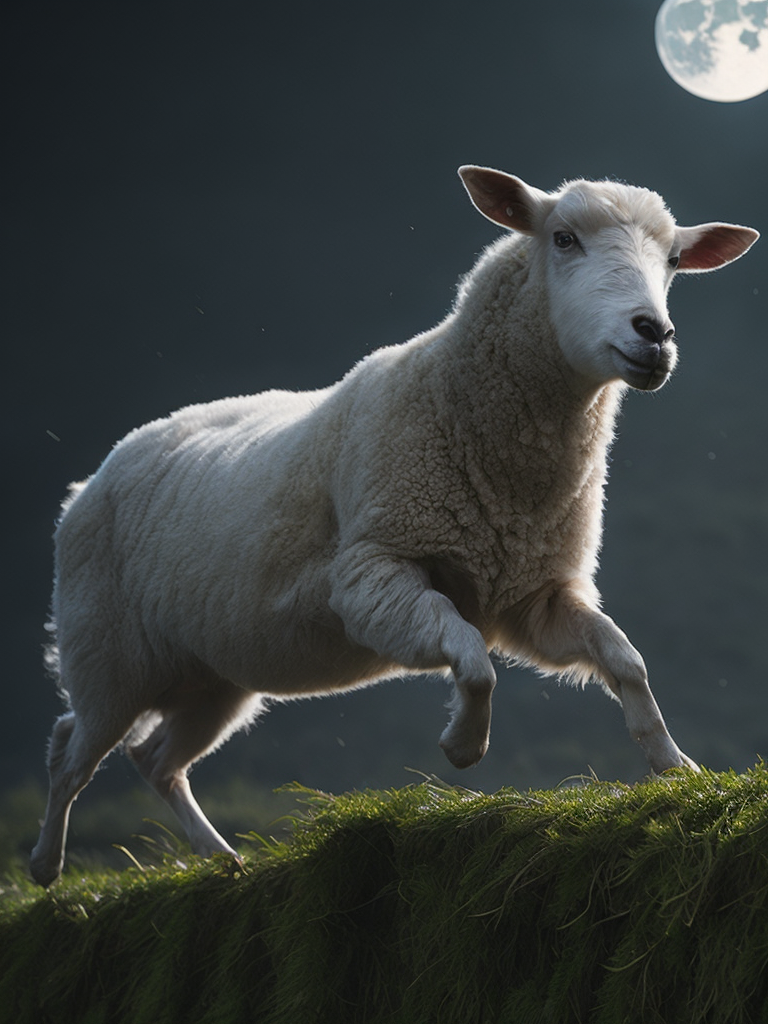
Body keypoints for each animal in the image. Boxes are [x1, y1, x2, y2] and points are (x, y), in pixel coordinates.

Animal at [31, 165, 758, 886]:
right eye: (563, 238)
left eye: (674, 260)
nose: (653, 334)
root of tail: (91, 480)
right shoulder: (374, 571)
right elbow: (472, 657)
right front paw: (463, 745)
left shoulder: (533, 595)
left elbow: (623, 657)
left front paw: (674, 767)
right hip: (106, 653)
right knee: (71, 750)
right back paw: (46, 866)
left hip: (211, 675)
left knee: (155, 759)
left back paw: (221, 858)